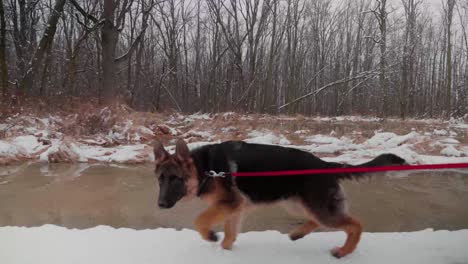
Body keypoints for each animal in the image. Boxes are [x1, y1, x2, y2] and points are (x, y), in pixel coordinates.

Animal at [154, 140, 406, 258]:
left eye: (176, 179)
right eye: (160, 179)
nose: (161, 205)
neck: (204, 168)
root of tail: (324, 164)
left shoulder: (229, 204)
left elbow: (200, 221)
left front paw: (210, 236)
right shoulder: (234, 208)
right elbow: (230, 234)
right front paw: (226, 252)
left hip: (318, 208)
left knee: (356, 224)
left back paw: (343, 252)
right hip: (297, 205)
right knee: (316, 221)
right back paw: (298, 233)